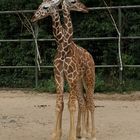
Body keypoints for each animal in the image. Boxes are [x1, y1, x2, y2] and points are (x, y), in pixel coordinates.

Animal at [31, 0, 95, 139]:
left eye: (45, 7)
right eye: (41, 6)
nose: (85, 8)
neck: (64, 46)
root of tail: (91, 57)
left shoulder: (71, 77)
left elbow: (71, 105)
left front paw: (70, 136)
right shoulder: (59, 76)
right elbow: (60, 104)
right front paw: (56, 135)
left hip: (89, 78)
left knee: (90, 103)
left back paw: (91, 134)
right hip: (78, 82)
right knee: (83, 102)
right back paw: (81, 132)